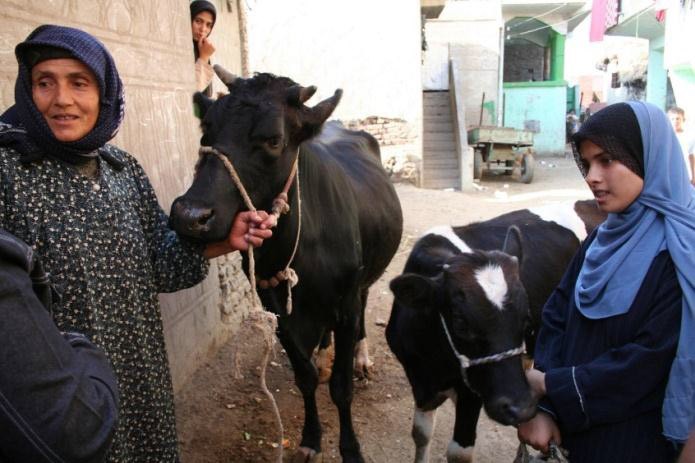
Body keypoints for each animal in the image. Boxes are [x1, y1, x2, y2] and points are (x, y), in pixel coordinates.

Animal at [168, 66, 402, 463]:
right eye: (207, 130)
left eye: (273, 140)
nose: (190, 216)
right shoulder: (276, 306)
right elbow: (304, 376)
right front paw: (310, 438)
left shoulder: (346, 303)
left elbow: (341, 388)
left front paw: (351, 449)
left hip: (364, 280)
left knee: (364, 308)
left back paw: (361, 359)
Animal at [388, 202, 608, 463]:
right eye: (460, 322)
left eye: (526, 319)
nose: (522, 408)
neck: (433, 363)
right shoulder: (419, 380)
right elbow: (421, 434)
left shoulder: (471, 395)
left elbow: (459, 453)